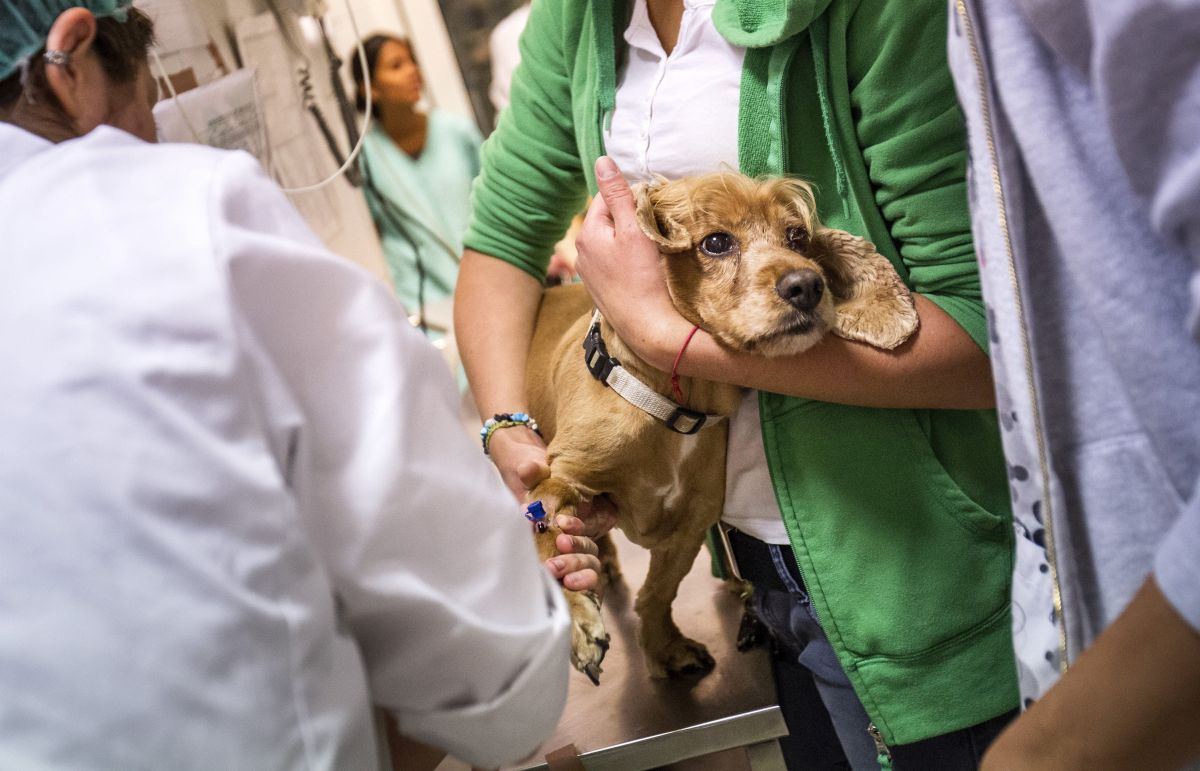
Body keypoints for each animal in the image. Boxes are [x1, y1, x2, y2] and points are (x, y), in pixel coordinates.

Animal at [525, 172, 916, 677]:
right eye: (715, 242)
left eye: (797, 237)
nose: (808, 285)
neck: (673, 406)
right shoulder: (559, 478)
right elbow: (548, 541)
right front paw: (577, 620)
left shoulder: (692, 520)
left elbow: (657, 593)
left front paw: (664, 648)